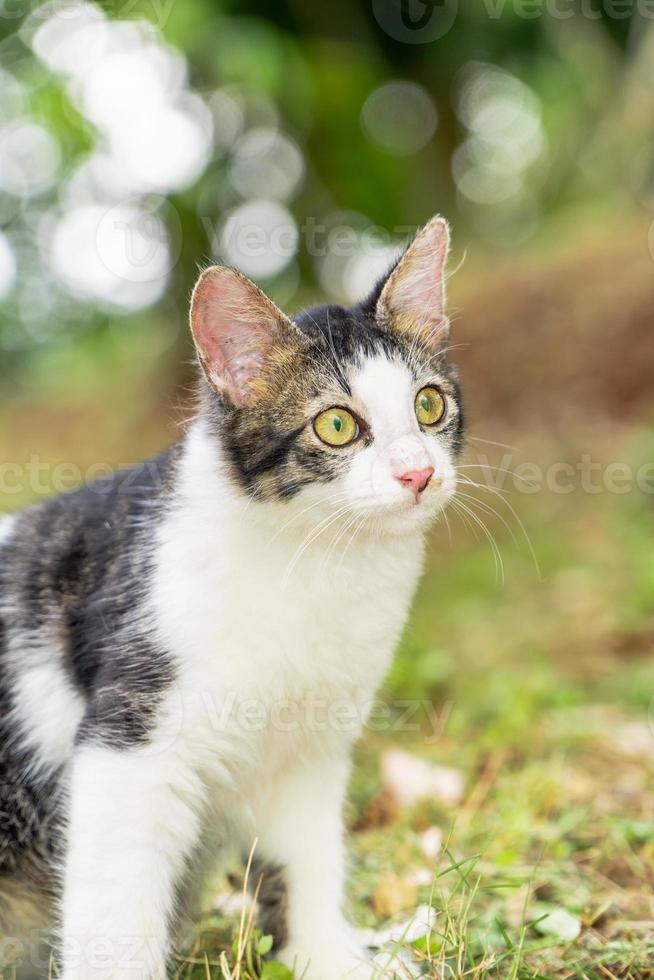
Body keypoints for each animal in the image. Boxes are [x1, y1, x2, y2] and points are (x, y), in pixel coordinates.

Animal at [0, 216, 466, 980]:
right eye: (336, 425)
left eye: (429, 405)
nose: (418, 473)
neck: (313, 564)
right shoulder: (129, 742)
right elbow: (115, 905)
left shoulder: (313, 748)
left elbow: (307, 855)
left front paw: (326, 955)